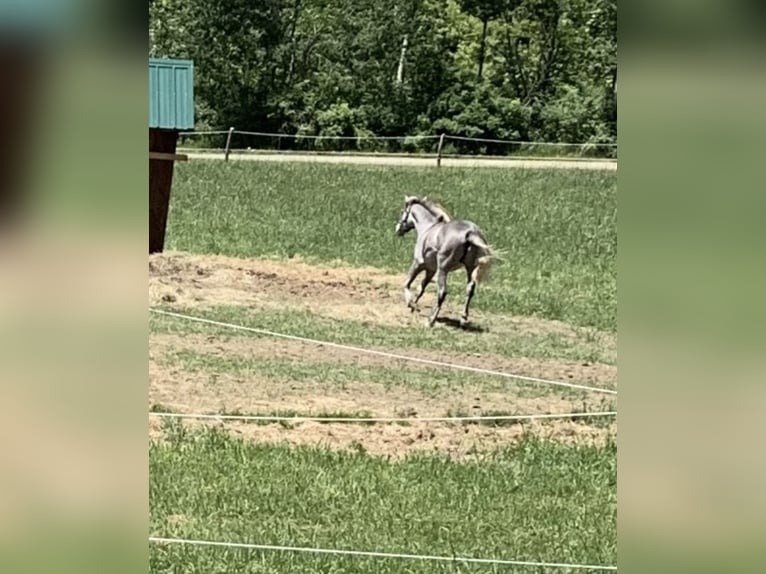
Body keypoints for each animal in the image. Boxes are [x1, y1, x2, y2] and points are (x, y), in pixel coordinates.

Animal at [395, 195, 496, 327]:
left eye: (402, 212)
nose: (397, 229)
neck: (428, 228)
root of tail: (470, 233)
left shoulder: (418, 264)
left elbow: (406, 284)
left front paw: (411, 304)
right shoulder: (430, 270)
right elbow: (421, 289)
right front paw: (413, 307)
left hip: (443, 270)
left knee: (442, 292)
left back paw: (431, 320)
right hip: (470, 268)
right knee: (470, 289)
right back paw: (463, 319)